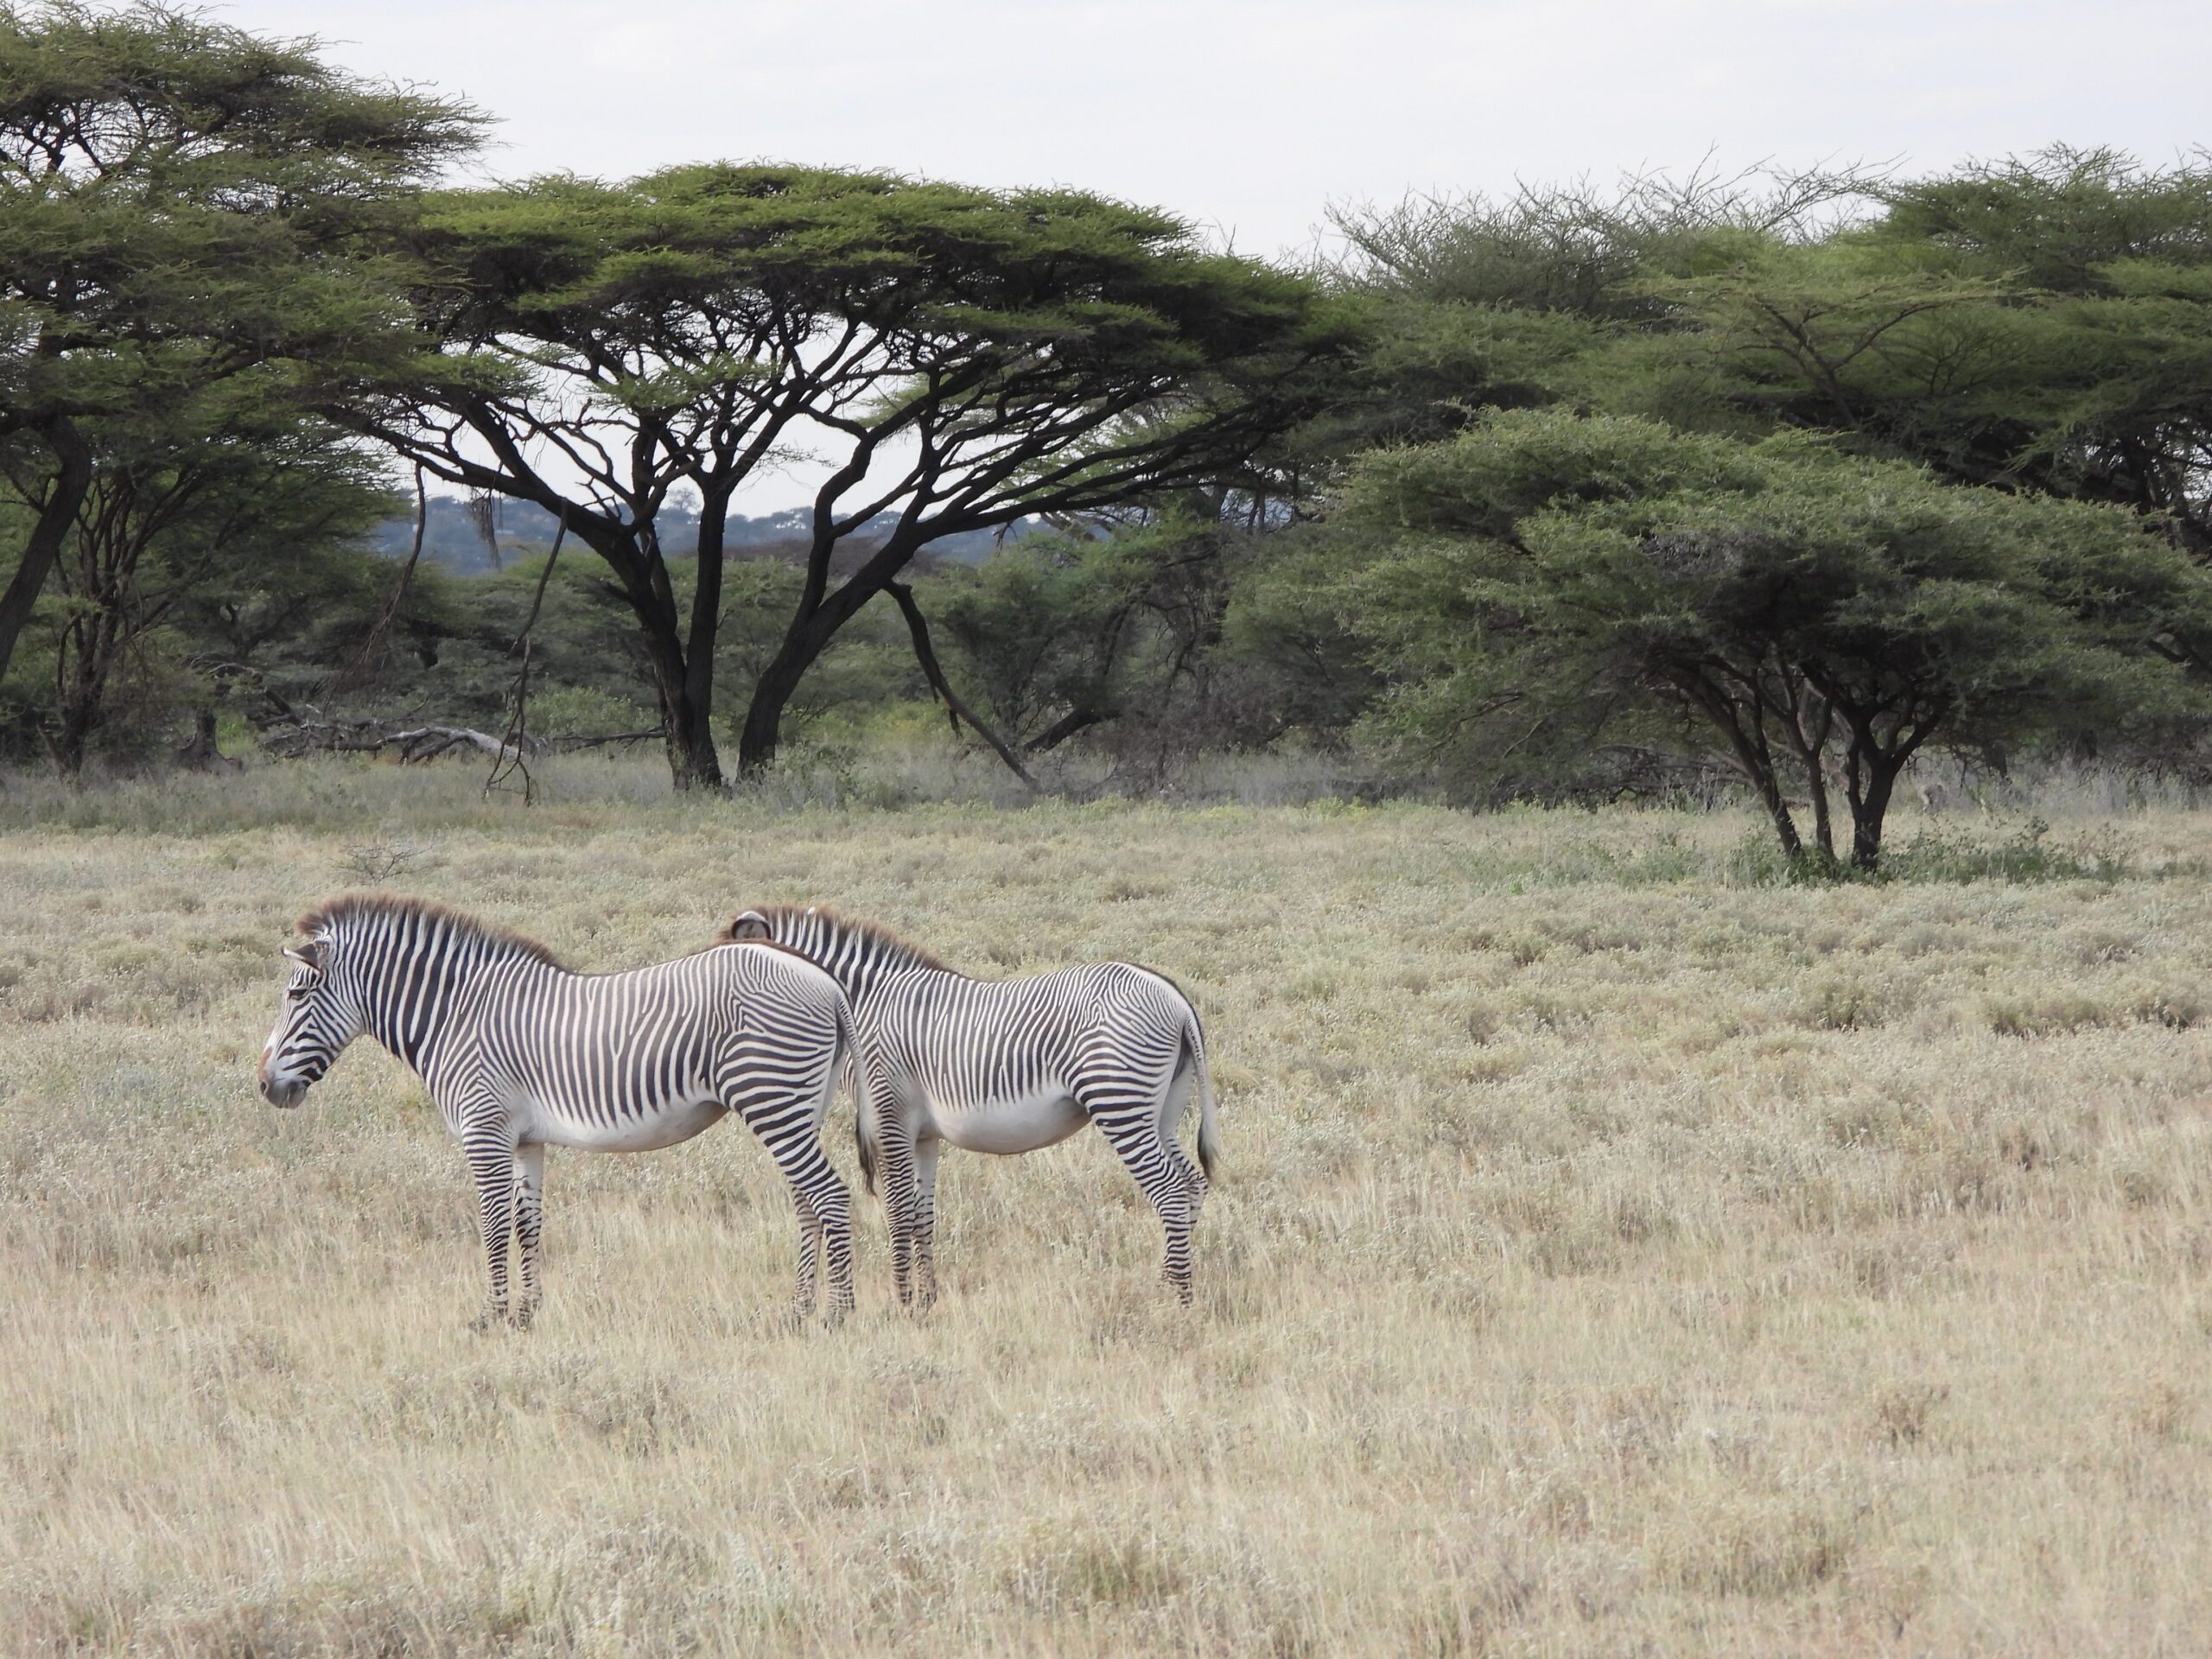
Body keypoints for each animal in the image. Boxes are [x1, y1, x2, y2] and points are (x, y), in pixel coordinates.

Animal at [258, 894, 860, 1326]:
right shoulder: (526, 1139)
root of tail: (828, 984)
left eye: (296, 996)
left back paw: (839, 1314)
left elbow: (492, 1222)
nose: (264, 1085)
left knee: (830, 1196)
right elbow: (528, 1224)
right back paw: (798, 1309)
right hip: (798, 1108)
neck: (455, 1017)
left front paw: (493, 1316)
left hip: (773, 1099)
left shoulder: (484, 1129)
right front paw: (527, 1312)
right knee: (807, 1202)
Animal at [719, 905, 1219, 1306]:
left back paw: (1176, 1300)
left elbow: (897, 1210)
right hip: (1163, 1112)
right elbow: (922, 1216)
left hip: (1120, 1103)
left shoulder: (890, 1116)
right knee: (1192, 1184)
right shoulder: (923, 1136)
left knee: (1171, 1192)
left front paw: (901, 1301)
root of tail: (1174, 997)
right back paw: (1170, 1283)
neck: (862, 1006)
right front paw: (927, 1301)